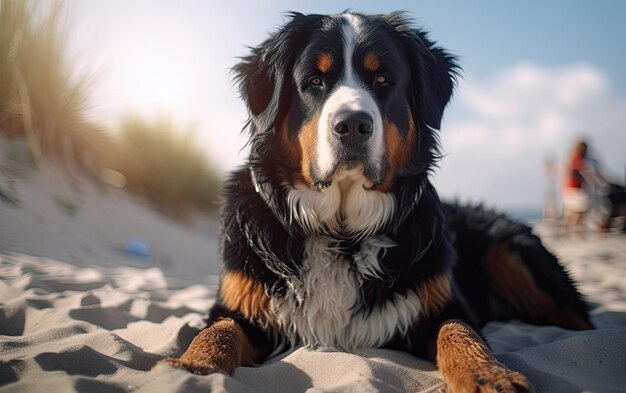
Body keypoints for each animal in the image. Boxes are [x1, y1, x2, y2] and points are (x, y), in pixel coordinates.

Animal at [163, 10, 592, 390]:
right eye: (314, 81)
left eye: (383, 78)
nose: (352, 125)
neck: (341, 233)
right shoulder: (241, 308)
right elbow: (216, 334)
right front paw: (190, 368)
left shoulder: (442, 305)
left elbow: (460, 334)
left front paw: (490, 376)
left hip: (521, 259)